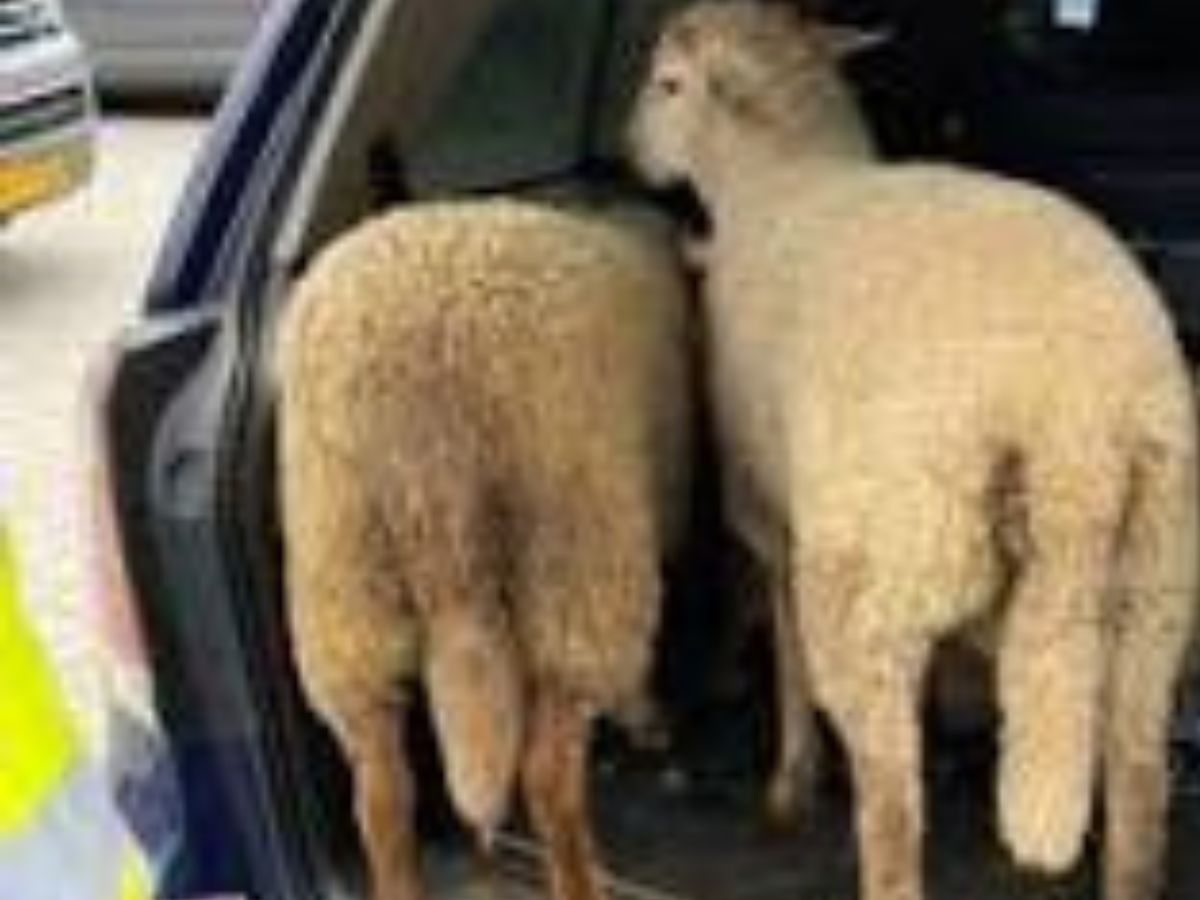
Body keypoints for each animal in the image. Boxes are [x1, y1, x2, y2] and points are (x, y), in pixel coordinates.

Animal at [276, 198, 690, 900]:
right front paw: (646, 719)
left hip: (341, 564)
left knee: (380, 789)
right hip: (578, 542)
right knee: (548, 774)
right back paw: (582, 877)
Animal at [627, 5, 1200, 900]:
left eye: (668, 83)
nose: (629, 154)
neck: (778, 183)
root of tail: (1073, 417)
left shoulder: (768, 513)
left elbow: (785, 646)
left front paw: (791, 778)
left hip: (881, 566)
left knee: (892, 805)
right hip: (1156, 581)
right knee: (1140, 793)